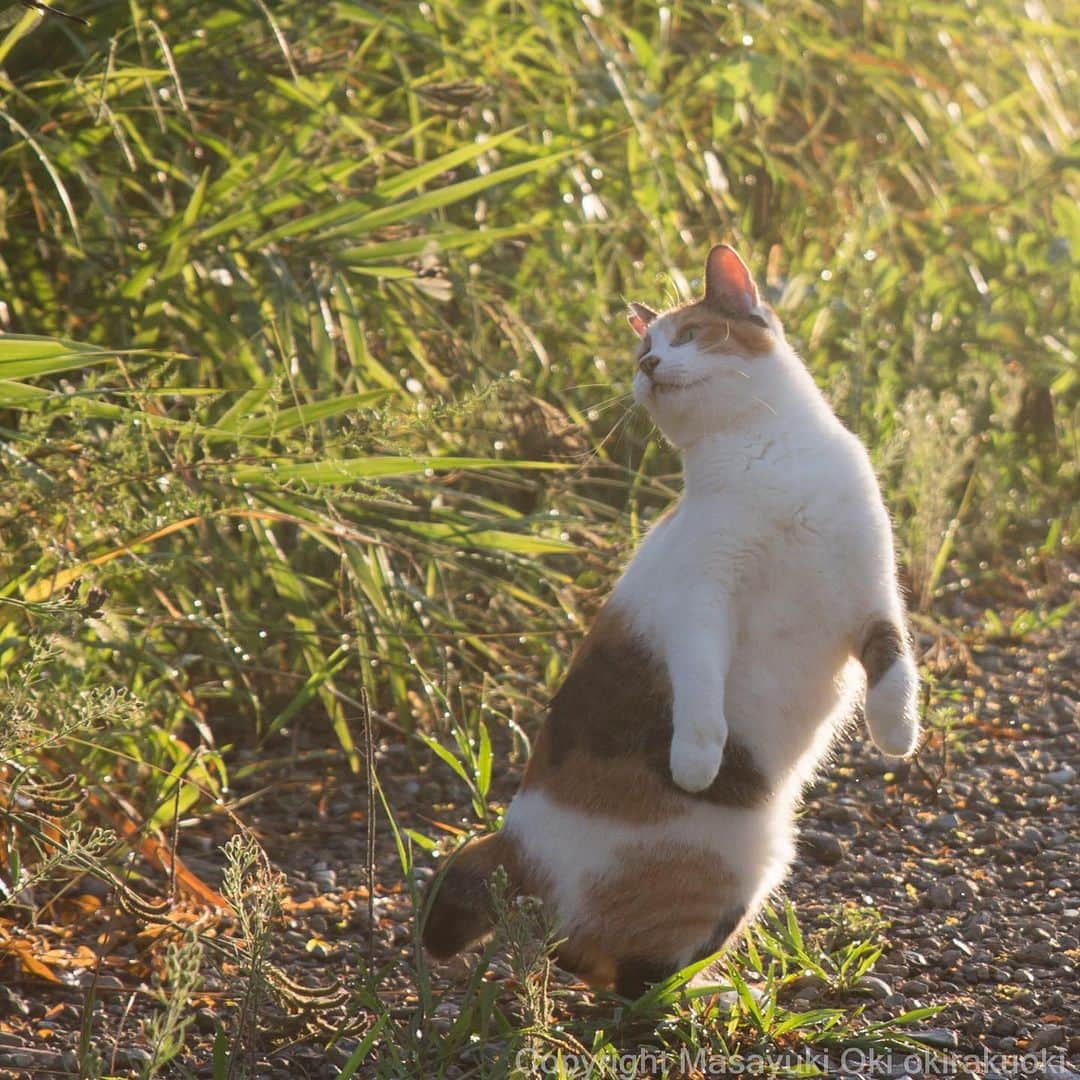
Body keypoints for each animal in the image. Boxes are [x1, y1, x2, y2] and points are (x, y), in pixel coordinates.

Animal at [421, 243, 920, 993]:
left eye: (685, 335)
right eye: (641, 350)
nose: (651, 365)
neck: (761, 456)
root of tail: (514, 842)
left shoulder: (869, 592)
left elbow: (894, 662)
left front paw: (896, 734)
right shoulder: (702, 600)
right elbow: (701, 685)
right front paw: (694, 762)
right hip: (747, 862)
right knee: (616, 971)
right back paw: (715, 992)